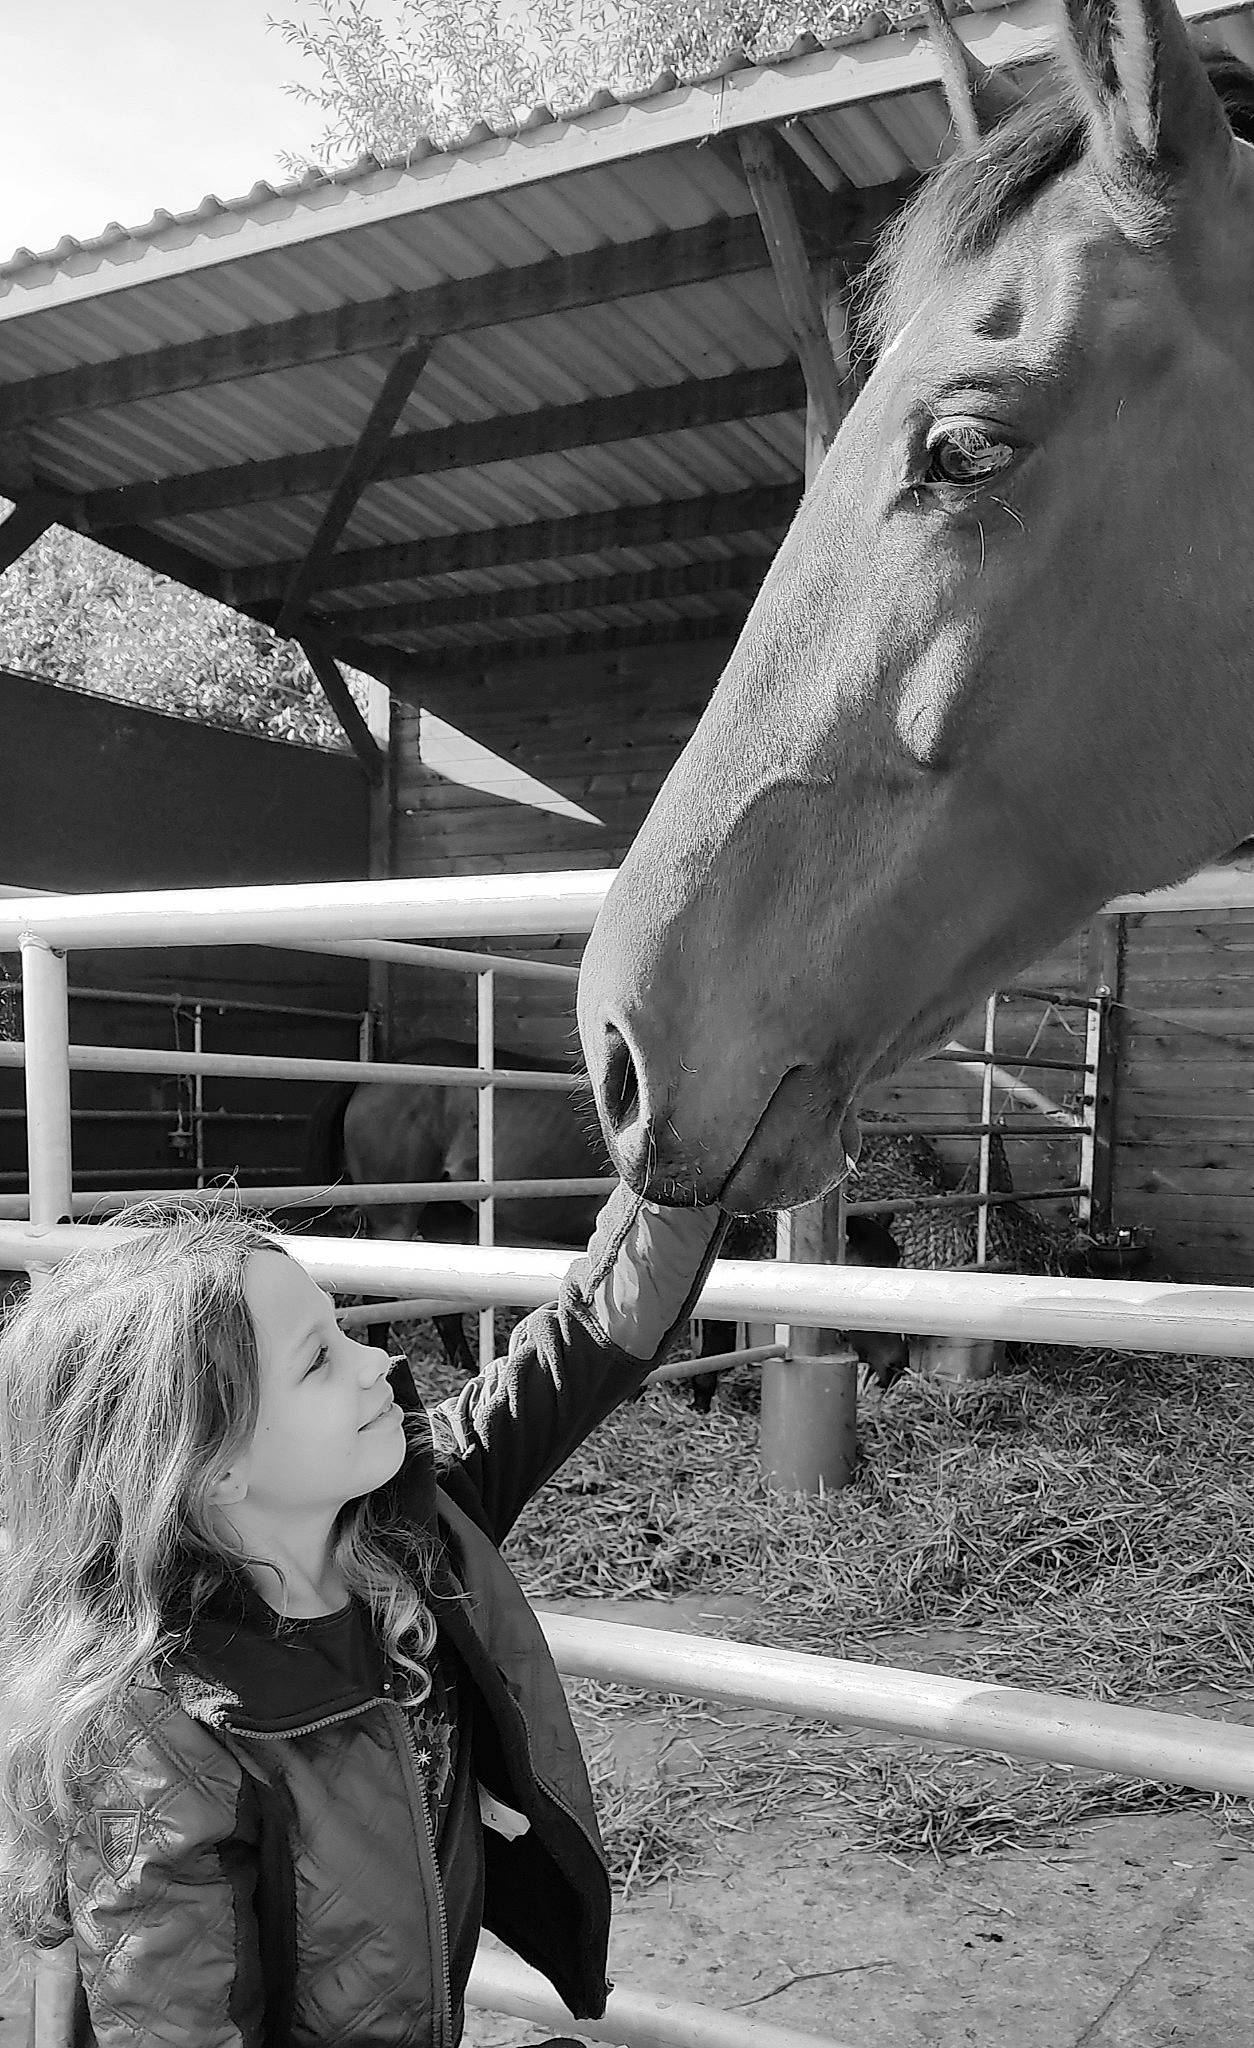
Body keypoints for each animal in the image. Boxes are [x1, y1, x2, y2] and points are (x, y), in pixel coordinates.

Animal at [302, 1038, 908, 1406]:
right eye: (861, 1271)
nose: (897, 1365)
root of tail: (367, 1081)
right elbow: (709, 1337)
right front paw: (699, 1397)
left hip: (444, 1217)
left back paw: (463, 1363)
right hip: (395, 1218)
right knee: (379, 1304)